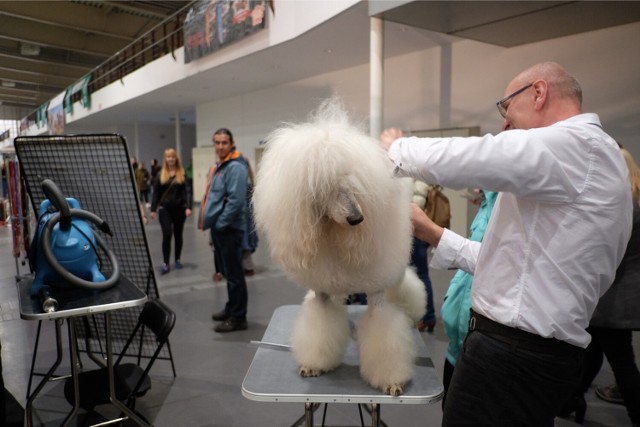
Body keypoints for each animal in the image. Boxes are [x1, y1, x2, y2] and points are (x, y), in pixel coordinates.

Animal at [252, 98, 428, 396]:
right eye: (324, 188)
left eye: (354, 184)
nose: (357, 219)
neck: (333, 234)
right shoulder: (323, 290)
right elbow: (321, 325)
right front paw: (315, 364)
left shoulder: (377, 293)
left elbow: (384, 333)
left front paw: (391, 380)